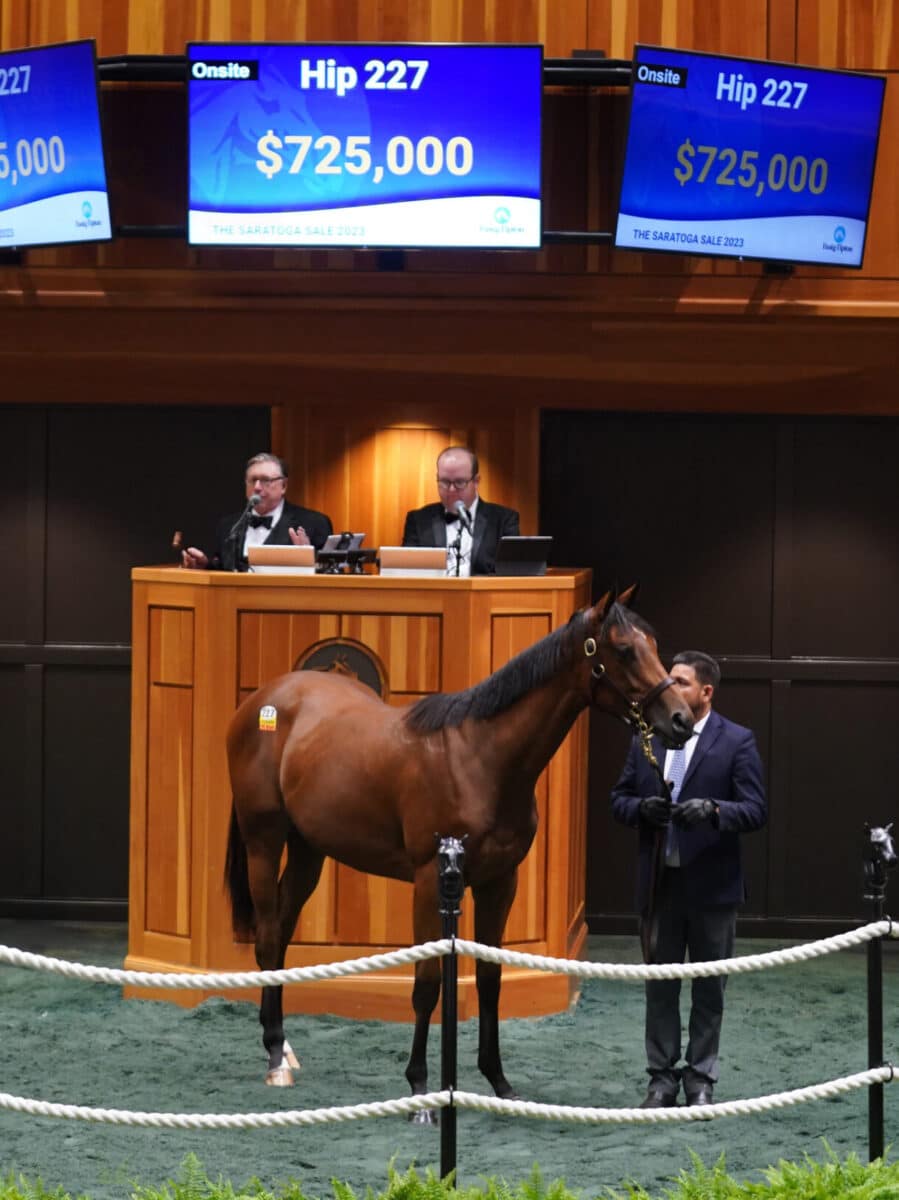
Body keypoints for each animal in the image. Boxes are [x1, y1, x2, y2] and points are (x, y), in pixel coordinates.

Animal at [223, 585, 686, 1099]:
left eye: (653, 644)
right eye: (623, 650)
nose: (681, 719)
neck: (481, 759)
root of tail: (263, 701)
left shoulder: (499, 882)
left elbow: (489, 976)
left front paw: (499, 1080)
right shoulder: (430, 881)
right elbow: (427, 982)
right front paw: (419, 1082)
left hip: (309, 849)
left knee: (282, 933)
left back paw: (283, 1047)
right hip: (264, 840)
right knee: (267, 936)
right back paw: (273, 1057)